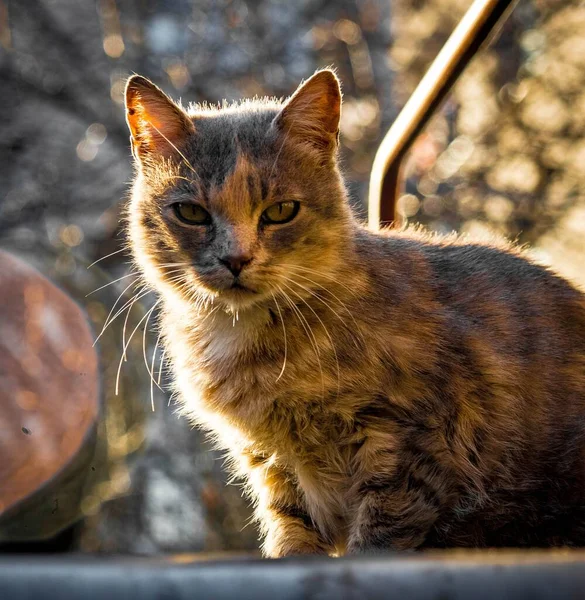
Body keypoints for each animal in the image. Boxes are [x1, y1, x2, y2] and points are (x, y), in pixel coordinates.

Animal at [123, 70, 584, 556]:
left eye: (281, 210)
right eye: (191, 212)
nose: (236, 258)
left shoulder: (412, 446)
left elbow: (380, 537)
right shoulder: (275, 467)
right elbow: (292, 538)